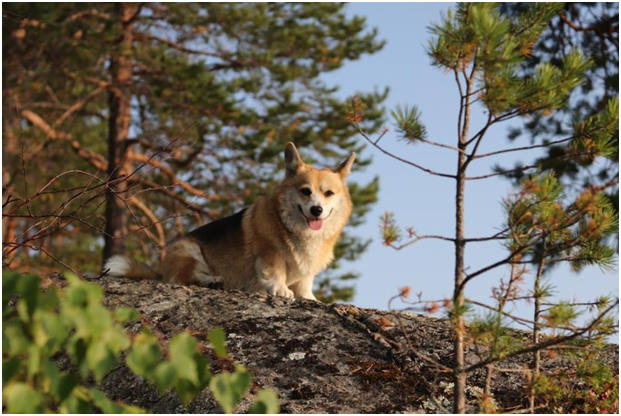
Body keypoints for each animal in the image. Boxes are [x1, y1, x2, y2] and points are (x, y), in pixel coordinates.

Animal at [103, 142, 354, 300]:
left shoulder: (307, 271)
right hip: (190, 250)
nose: (316, 210)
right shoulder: (269, 254)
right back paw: (212, 281)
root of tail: (161, 272)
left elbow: (305, 285)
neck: (299, 229)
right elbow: (275, 273)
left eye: (328, 193)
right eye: (305, 191)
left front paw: (311, 299)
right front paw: (282, 290)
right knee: (185, 278)